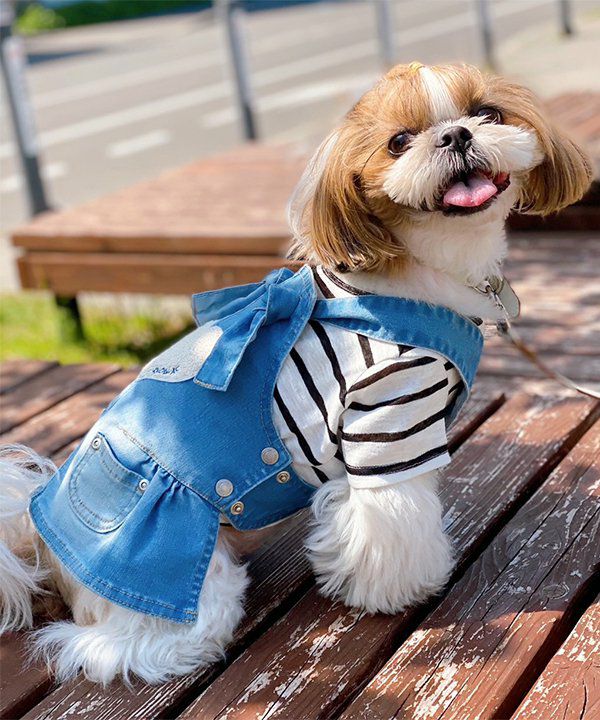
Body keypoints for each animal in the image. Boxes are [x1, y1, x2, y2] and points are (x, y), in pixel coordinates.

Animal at [0, 62, 591, 685]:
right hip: (166, 566)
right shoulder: (389, 420)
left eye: (488, 113)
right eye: (398, 142)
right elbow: (394, 521)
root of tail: (39, 536)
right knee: (107, 643)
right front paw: (403, 588)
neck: (423, 271)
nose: (455, 135)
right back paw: (181, 647)